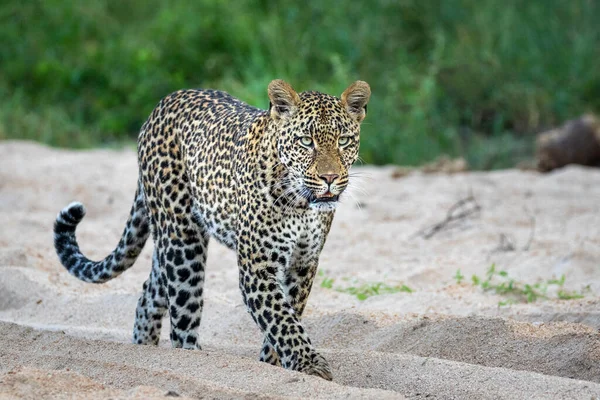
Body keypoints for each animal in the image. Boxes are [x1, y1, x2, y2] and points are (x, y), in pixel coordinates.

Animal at [52, 79, 370, 382]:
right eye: (306, 141)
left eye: (343, 141)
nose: (329, 178)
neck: (301, 204)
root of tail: (163, 103)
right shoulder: (258, 266)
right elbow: (281, 319)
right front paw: (308, 365)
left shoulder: (303, 264)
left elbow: (287, 315)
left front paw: (273, 366)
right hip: (182, 242)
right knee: (181, 315)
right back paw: (192, 360)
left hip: (169, 241)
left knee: (149, 292)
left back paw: (144, 351)